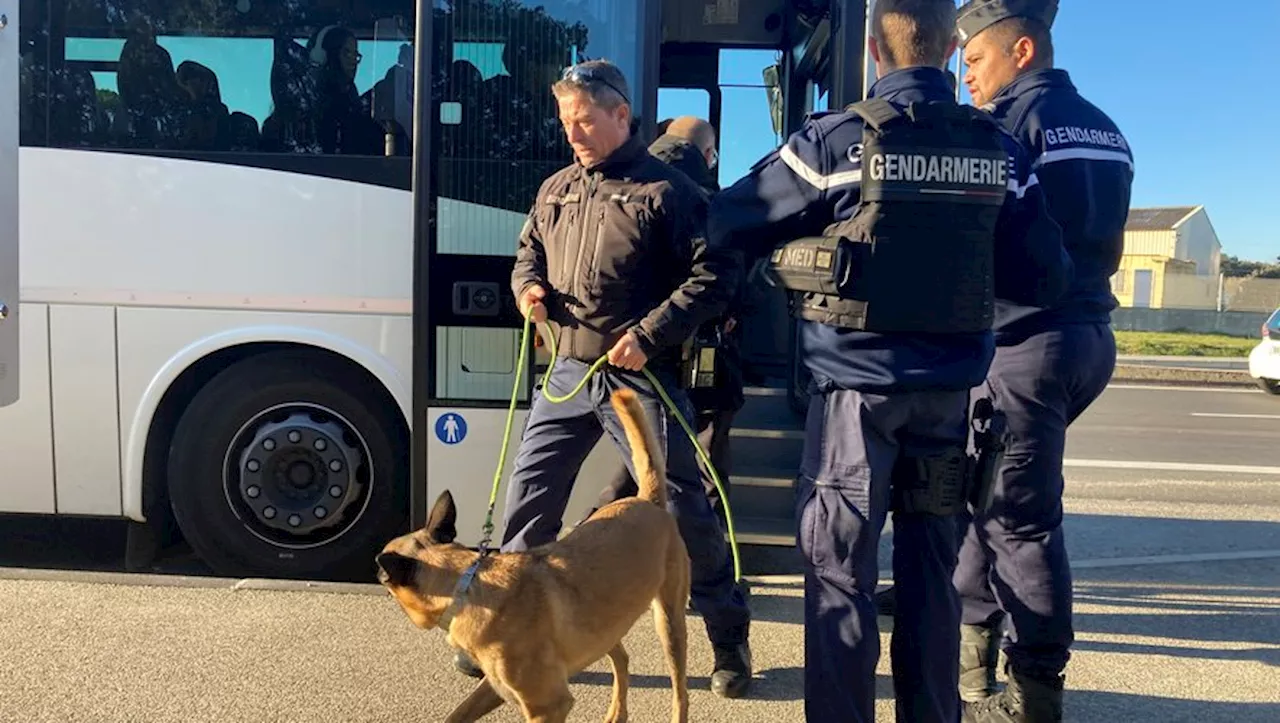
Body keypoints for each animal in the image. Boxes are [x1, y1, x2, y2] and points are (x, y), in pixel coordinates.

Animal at [376, 389, 691, 721]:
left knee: (680, 692)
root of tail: (647, 500)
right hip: (603, 625)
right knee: (622, 658)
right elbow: (458, 713)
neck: (466, 584)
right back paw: (617, 712)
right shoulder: (496, 687)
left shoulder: (548, 705)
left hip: (669, 624)